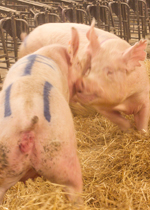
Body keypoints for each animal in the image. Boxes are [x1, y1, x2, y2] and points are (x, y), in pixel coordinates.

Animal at [18, 19, 149, 131]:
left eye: (110, 72)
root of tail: (26, 38)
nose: (81, 81)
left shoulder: (144, 96)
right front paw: (128, 129)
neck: (125, 103)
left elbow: (143, 122)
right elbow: (119, 120)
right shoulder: (100, 107)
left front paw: (141, 133)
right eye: (90, 68)